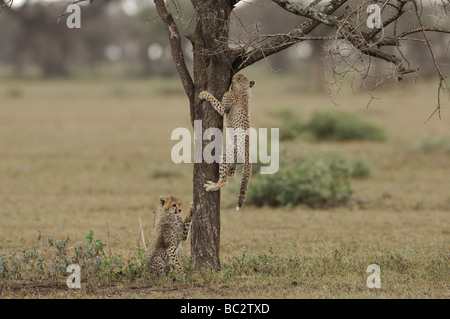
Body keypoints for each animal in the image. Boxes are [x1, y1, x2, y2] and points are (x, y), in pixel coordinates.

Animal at [199, 73, 255, 211]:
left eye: (240, 77)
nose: (234, 75)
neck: (242, 90)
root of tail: (248, 154)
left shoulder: (223, 107)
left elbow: (214, 100)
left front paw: (203, 94)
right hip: (233, 163)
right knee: (231, 175)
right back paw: (214, 182)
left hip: (226, 156)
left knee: (225, 180)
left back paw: (212, 186)